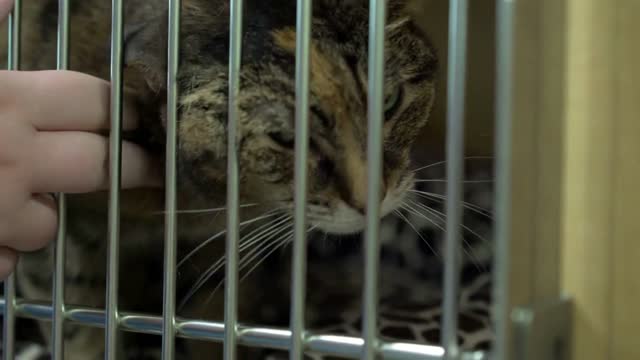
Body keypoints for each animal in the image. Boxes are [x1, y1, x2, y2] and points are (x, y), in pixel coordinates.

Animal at [8, 0, 440, 358]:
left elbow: (213, 324)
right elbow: (76, 325)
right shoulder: (62, 249)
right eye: (286, 139)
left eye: (390, 101)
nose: (373, 197)